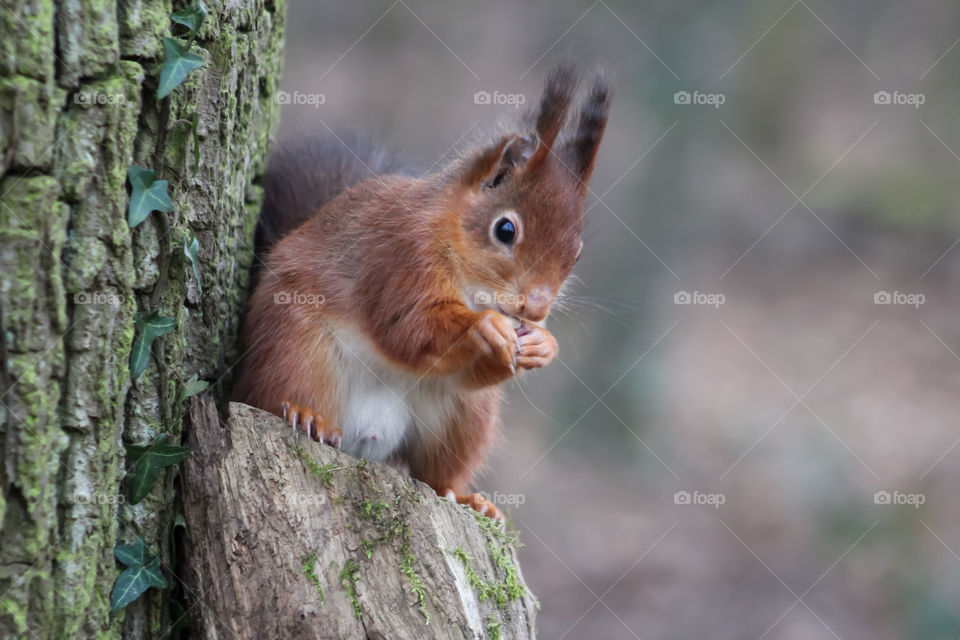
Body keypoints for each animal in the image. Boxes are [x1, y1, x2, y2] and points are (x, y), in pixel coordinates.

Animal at [232, 63, 608, 520]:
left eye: (577, 255)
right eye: (505, 230)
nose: (536, 310)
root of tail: (363, 442)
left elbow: (469, 368)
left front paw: (543, 345)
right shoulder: (400, 255)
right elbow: (407, 326)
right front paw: (484, 328)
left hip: (466, 416)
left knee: (436, 474)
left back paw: (469, 498)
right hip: (295, 348)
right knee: (275, 394)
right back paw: (308, 416)